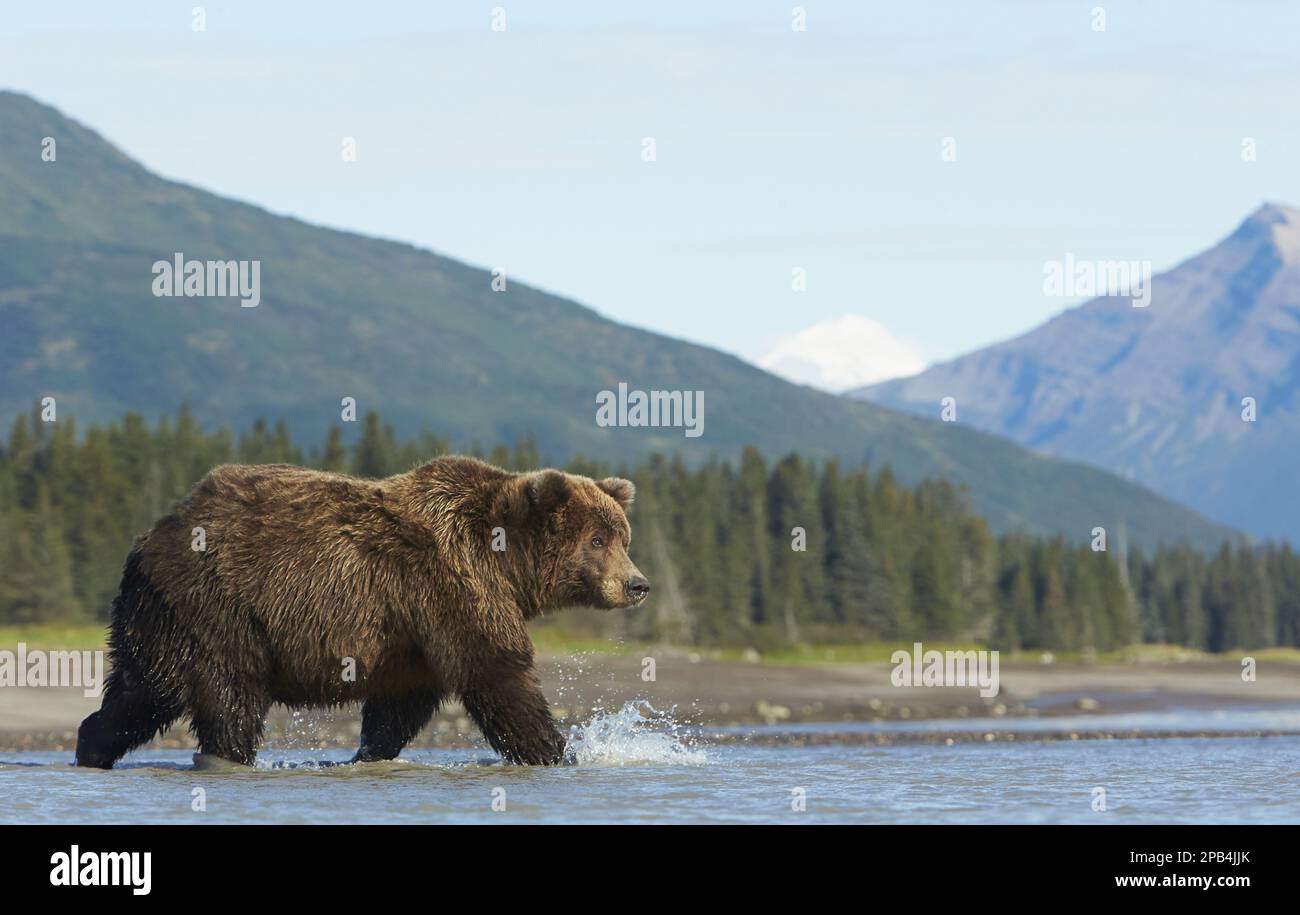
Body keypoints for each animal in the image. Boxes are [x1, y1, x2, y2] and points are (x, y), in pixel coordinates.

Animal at [73, 454, 647, 764]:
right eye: (597, 540)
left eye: (623, 537)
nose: (637, 584)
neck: (506, 561)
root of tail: (148, 540)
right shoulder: (452, 585)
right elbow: (496, 673)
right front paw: (558, 751)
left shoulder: (416, 631)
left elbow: (402, 703)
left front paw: (367, 752)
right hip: (218, 605)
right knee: (229, 698)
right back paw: (227, 755)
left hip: (160, 619)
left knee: (140, 692)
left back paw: (91, 746)